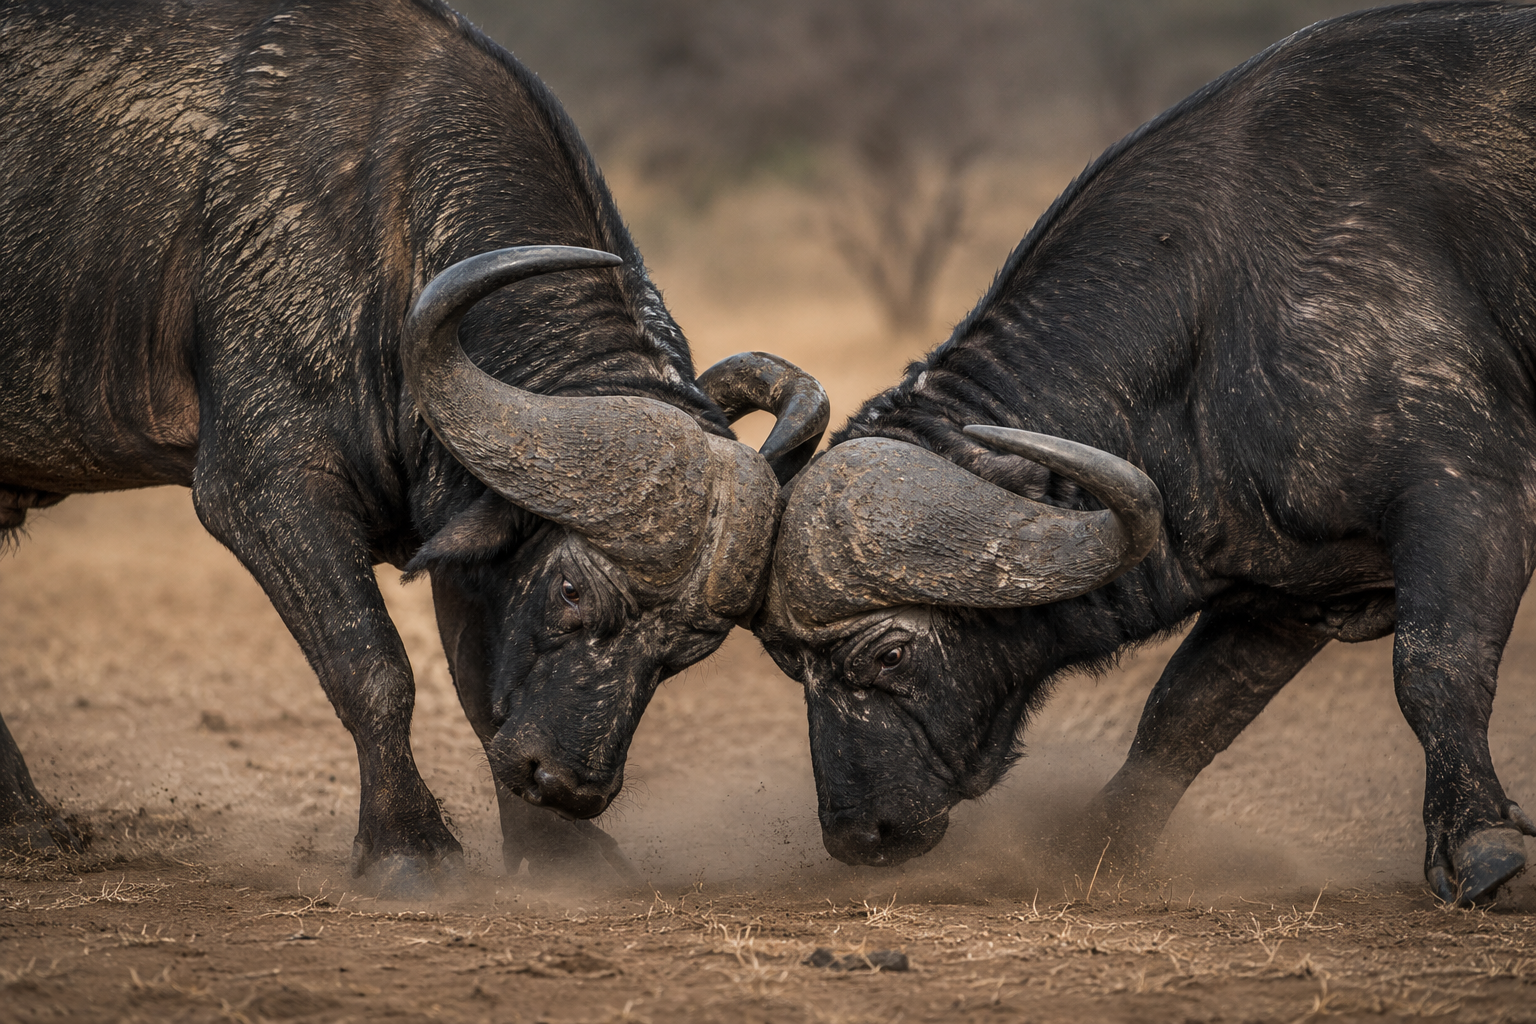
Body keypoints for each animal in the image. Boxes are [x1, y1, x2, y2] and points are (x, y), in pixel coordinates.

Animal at [0, 0, 827, 891]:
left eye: (688, 652)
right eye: (573, 590)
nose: (567, 786)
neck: (384, 223)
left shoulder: (469, 524)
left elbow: (477, 684)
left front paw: (557, 855)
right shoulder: (265, 489)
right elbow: (372, 666)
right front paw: (407, 846)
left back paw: (27, 821)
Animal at [757, 1, 1536, 905]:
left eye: (889, 652)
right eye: (789, 664)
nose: (858, 835)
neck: (1222, 317)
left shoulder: (1471, 497)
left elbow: (1436, 664)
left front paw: (1477, 841)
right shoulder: (1287, 587)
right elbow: (1182, 714)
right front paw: (1098, 847)